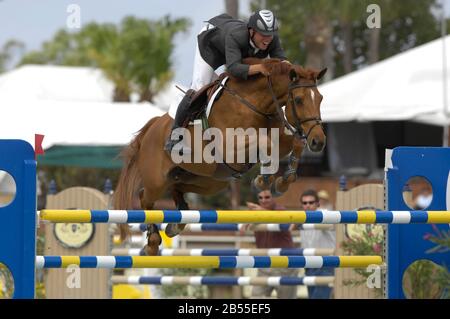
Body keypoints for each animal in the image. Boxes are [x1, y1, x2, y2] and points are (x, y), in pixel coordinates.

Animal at [114, 58, 326, 256]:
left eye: (320, 98)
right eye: (298, 100)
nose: (318, 141)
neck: (255, 103)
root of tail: (152, 127)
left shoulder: (280, 139)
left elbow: (293, 143)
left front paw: (283, 181)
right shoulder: (229, 146)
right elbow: (265, 142)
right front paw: (264, 179)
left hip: (207, 181)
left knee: (177, 188)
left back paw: (176, 224)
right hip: (157, 182)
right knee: (145, 198)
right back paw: (152, 243)